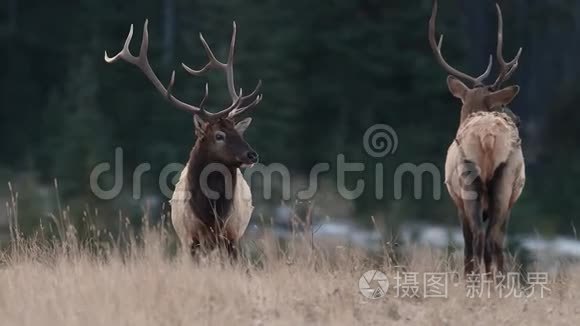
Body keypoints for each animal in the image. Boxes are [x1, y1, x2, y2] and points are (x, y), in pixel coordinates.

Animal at [106, 21, 262, 260]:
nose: (252, 155)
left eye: (240, 133)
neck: (211, 216)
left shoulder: (232, 235)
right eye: (219, 135)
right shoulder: (190, 238)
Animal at [430, 1, 524, 276]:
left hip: (470, 181)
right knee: (490, 239)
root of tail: (487, 136)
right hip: (498, 183)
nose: (518, 119)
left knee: (481, 239)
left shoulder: (458, 199)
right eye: (502, 105)